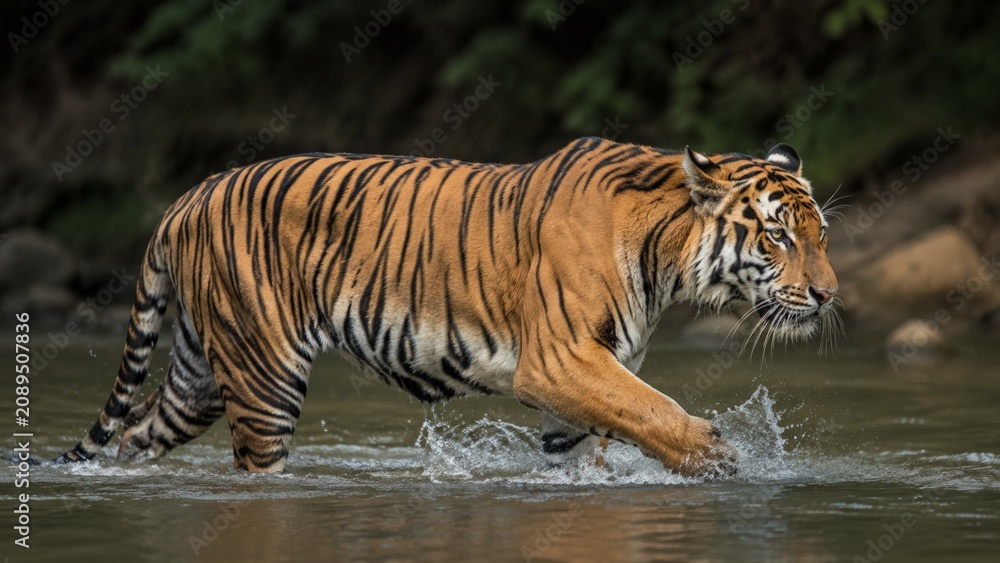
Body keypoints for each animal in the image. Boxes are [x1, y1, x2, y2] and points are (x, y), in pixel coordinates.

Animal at [58, 137, 838, 477]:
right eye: (777, 235)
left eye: (821, 235)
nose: (829, 295)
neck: (667, 259)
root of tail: (187, 197)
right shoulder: (560, 361)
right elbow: (650, 408)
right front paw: (718, 456)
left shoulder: (584, 383)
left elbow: (602, 440)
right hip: (263, 374)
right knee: (254, 465)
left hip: (200, 375)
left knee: (136, 432)